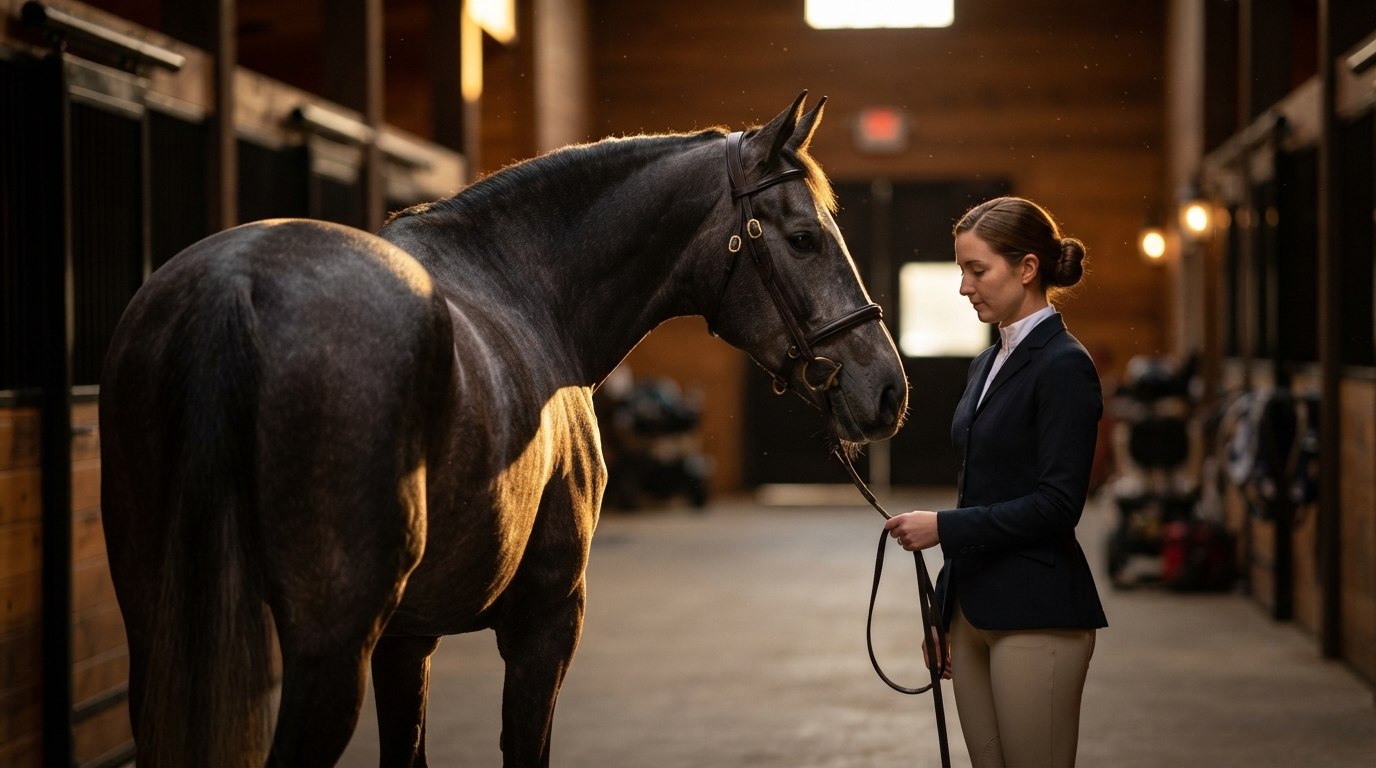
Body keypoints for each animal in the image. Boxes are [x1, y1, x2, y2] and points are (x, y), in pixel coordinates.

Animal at [99, 92, 908, 767]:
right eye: (803, 239)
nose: (888, 389)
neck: (529, 285)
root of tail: (236, 283)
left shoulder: (407, 637)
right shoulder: (547, 619)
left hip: (160, 633)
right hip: (328, 654)